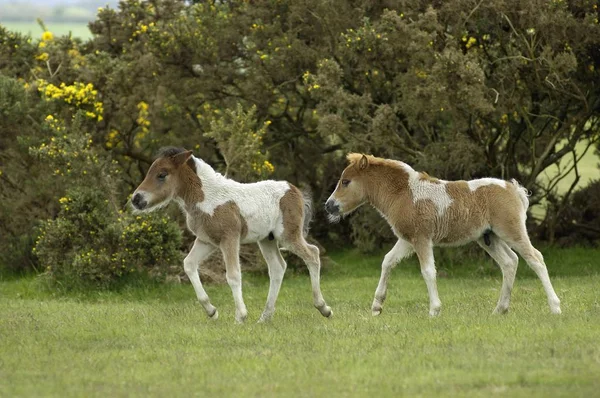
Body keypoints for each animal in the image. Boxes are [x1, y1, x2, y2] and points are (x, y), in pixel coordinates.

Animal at [131, 148, 332, 322]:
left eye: (162, 174)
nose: (136, 199)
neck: (208, 198)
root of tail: (294, 189)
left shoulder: (230, 239)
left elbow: (233, 275)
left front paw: (240, 316)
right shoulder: (207, 241)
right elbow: (188, 264)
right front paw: (211, 311)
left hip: (288, 236)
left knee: (312, 254)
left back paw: (323, 308)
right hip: (267, 239)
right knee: (277, 268)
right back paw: (264, 317)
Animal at [326, 152, 560, 318]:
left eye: (345, 181)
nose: (329, 205)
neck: (405, 193)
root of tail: (513, 189)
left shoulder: (421, 239)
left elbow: (428, 271)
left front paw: (434, 310)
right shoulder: (407, 240)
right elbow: (388, 261)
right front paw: (377, 306)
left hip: (512, 231)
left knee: (536, 259)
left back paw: (555, 307)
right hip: (489, 238)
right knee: (510, 262)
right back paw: (500, 309)